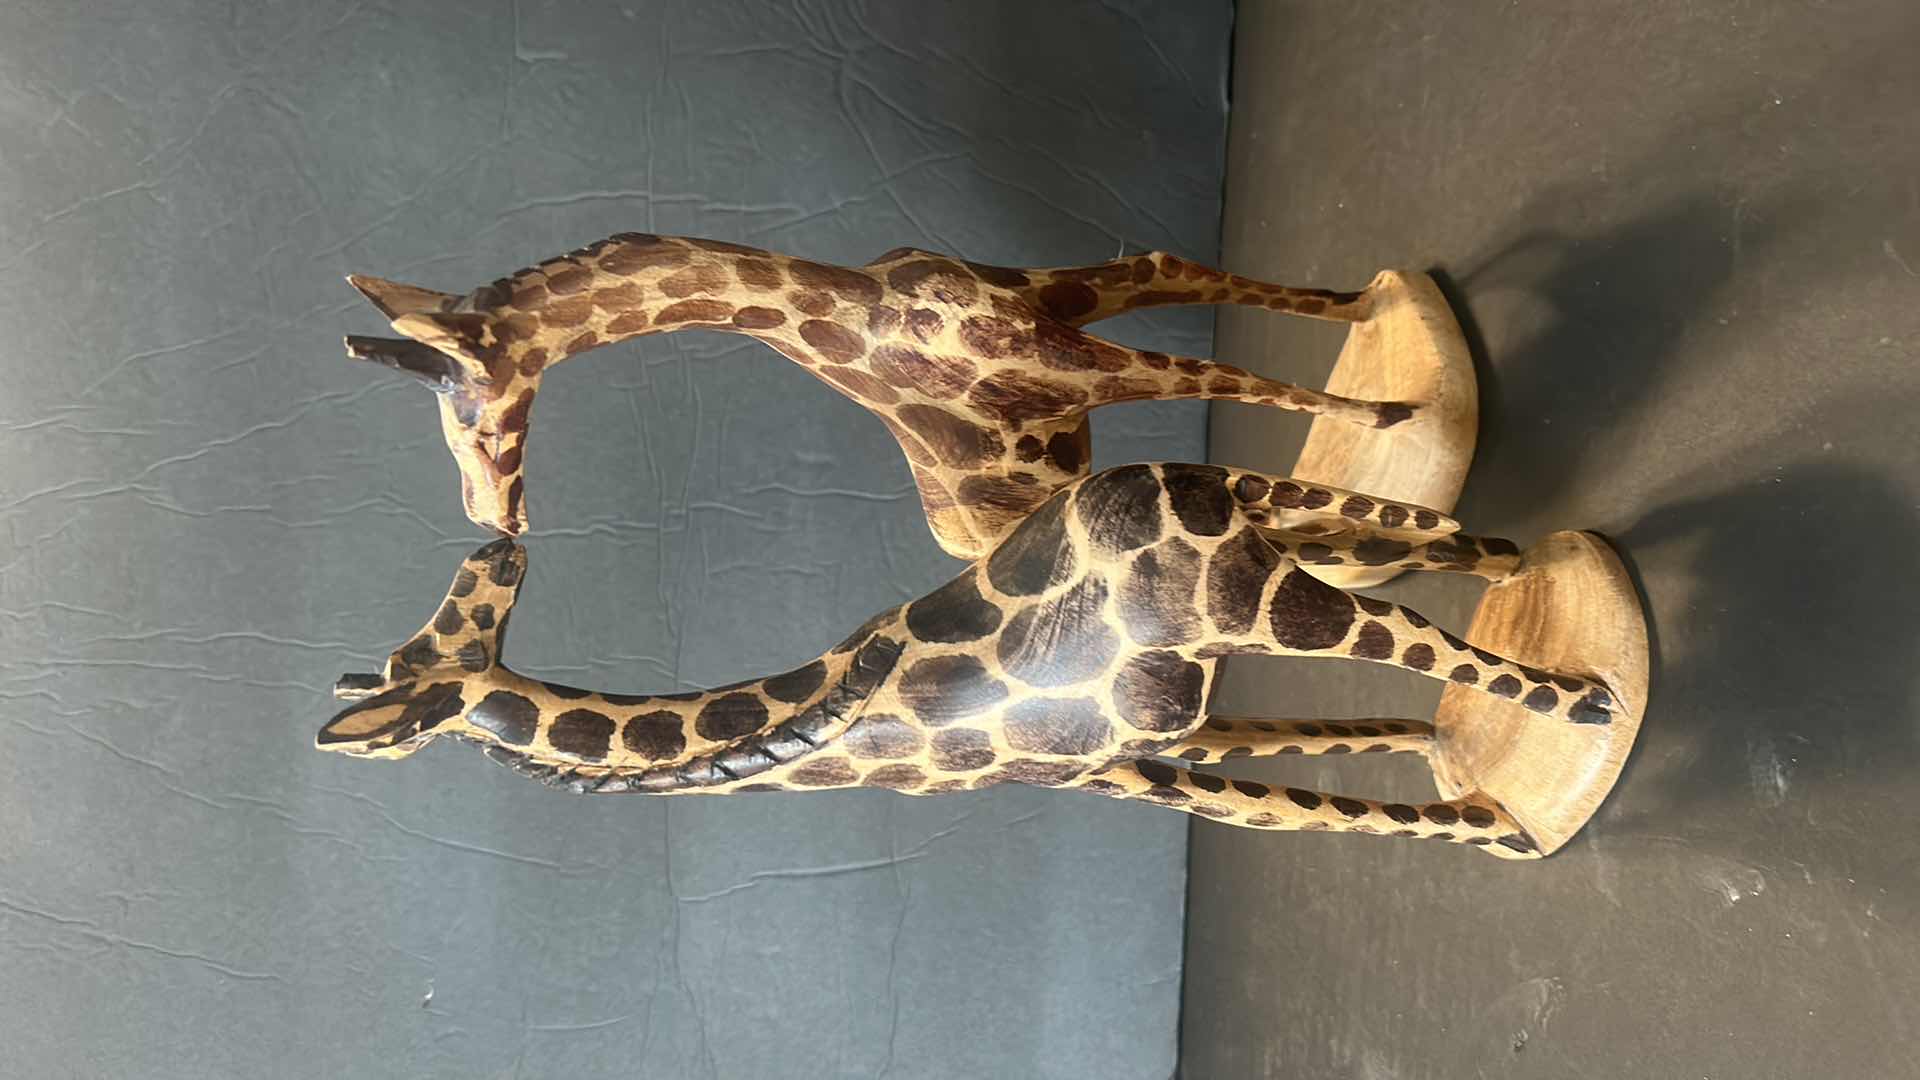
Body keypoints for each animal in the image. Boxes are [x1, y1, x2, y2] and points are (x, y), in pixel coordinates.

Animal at [317, 463, 1619, 859]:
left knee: (1424, 637)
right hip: (1269, 538)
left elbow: (1310, 808)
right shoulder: (1140, 759)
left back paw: (1592, 700)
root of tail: (1157, 488)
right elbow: (1306, 789)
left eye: (439, 643)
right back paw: (1527, 578)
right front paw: (1491, 809)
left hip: (1269, 601)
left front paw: (1512, 828)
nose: (500, 547)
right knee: (1404, 544)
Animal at [343, 233, 1419, 560]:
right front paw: (1392, 413)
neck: (856, 307)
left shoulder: (1075, 309)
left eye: (476, 428)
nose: (497, 519)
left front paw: (1370, 310)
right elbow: (1237, 380)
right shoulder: (1075, 364)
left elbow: (1195, 280)